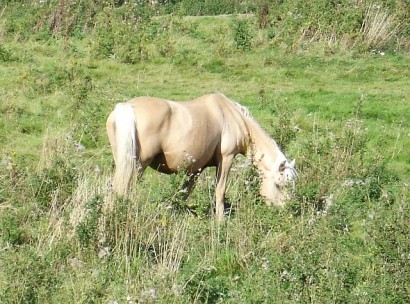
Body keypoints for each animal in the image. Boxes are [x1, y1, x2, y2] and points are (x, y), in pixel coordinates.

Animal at [107, 94, 296, 220]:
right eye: (279, 185)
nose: (287, 211)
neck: (234, 116)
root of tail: (126, 108)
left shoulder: (195, 169)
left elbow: (184, 192)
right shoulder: (226, 159)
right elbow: (220, 190)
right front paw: (220, 220)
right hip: (138, 166)